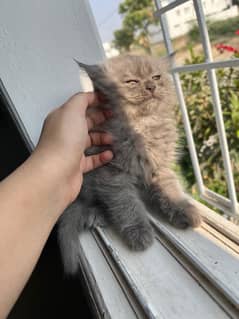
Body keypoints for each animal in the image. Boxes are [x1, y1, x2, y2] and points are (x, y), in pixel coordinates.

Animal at [58, 55, 202, 276]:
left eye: (156, 77)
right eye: (132, 81)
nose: (151, 86)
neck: (142, 126)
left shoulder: (159, 168)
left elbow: (170, 190)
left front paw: (182, 210)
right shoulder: (113, 175)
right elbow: (127, 205)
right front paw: (138, 231)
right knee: (85, 203)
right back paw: (96, 214)